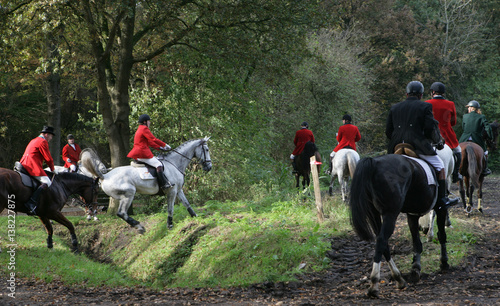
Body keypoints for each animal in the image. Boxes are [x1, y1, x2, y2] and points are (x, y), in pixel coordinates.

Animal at [81, 137, 213, 233]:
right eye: (206, 150)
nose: (209, 167)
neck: (174, 163)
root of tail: (105, 176)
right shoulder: (172, 191)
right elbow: (170, 209)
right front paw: (170, 225)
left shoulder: (178, 190)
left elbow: (187, 204)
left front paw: (195, 216)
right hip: (129, 194)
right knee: (121, 213)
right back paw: (139, 226)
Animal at [348, 154, 450, 298]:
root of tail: (375, 162)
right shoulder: (440, 209)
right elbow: (441, 235)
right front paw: (444, 262)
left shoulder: (412, 215)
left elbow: (417, 243)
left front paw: (415, 268)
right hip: (390, 213)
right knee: (382, 240)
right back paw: (374, 284)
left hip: (374, 213)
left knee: (383, 242)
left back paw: (398, 278)